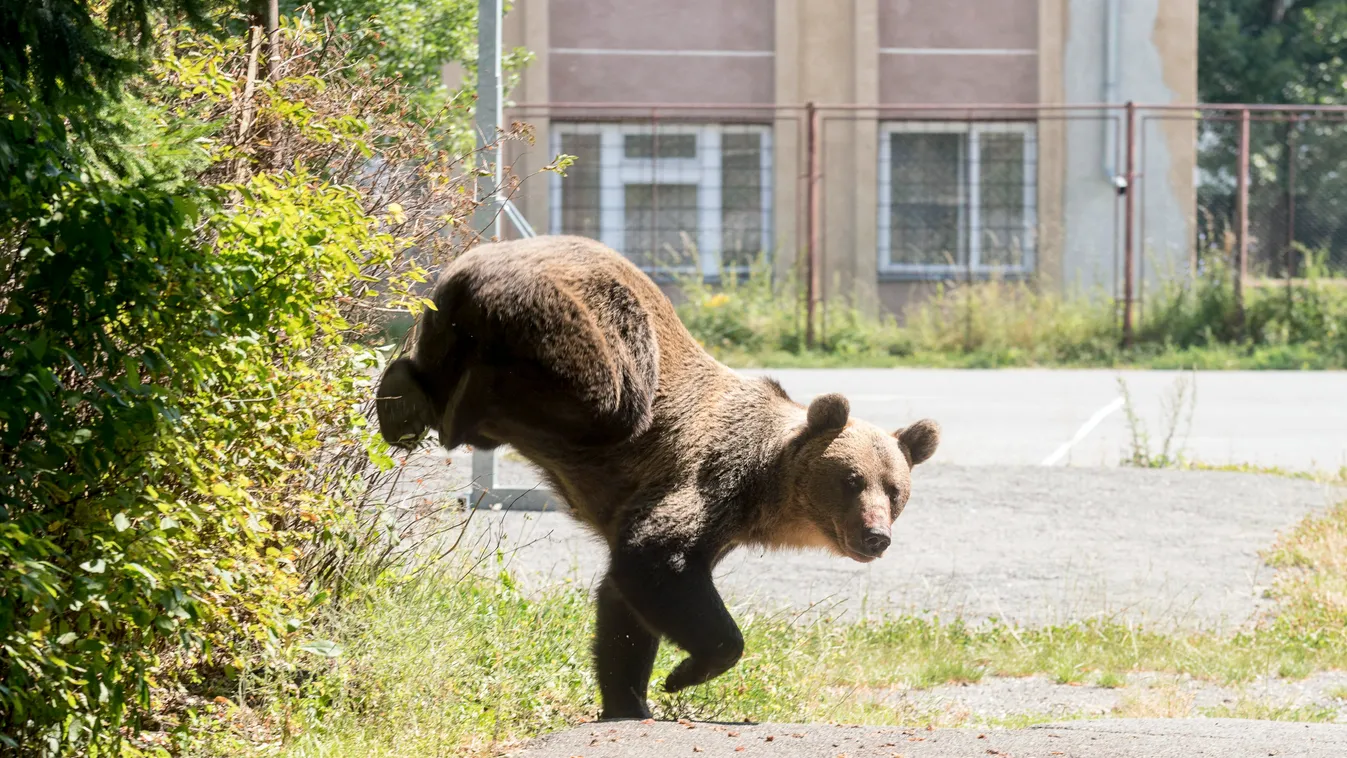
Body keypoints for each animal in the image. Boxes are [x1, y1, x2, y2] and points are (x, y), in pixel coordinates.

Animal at [374, 234, 942, 721]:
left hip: (447, 322)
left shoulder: (721, 525)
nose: (876, 535)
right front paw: (684, 673)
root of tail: (469, 265)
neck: (766, 489)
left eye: (895, 491)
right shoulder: (711, 476)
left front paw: (629, 697)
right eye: (851, 480)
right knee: (607, 394)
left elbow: (622, 606)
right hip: (583, 322)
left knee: (433, 366)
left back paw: (401, 399)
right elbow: (655, 557)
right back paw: (458, 406)